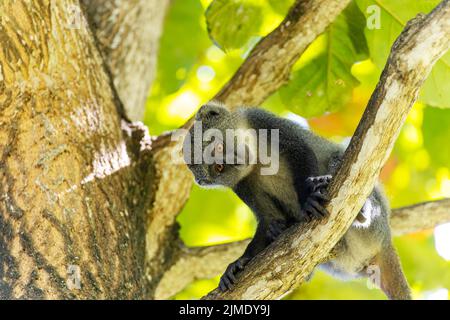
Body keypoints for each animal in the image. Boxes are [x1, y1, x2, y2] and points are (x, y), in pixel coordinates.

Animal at [182, 102, 412, 300]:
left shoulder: (263, 121)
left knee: (338, 157)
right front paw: (240, 263)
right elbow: (269, 219)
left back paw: (360, 210)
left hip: (376, 221)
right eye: (218, 168)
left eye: (218, 148)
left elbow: (301, 152)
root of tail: (385, 242)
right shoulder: (242, 184)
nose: (233, 159)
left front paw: (308, 199)